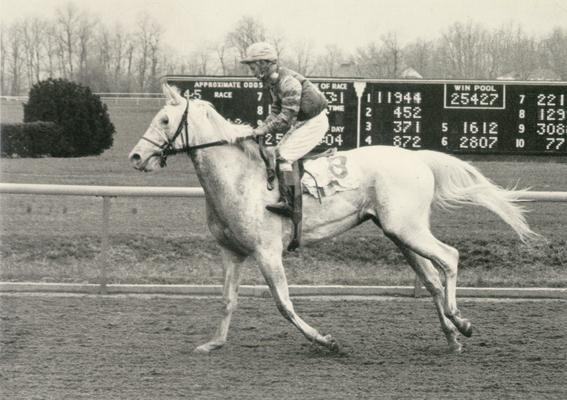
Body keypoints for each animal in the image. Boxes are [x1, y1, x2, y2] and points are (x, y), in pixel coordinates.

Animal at [127, 83, 536, 354]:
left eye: (164, 120)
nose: (135, 157)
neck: (240, 178)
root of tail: (417, 157)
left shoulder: (267, 252)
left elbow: (284, 304)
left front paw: (325, 340)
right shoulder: (232, 252)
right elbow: (227, 300)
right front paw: (213, 343)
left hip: (407, 228)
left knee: (449, 258)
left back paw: (460, 321)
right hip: (399, 233)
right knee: (432, 278)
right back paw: (451, 336)